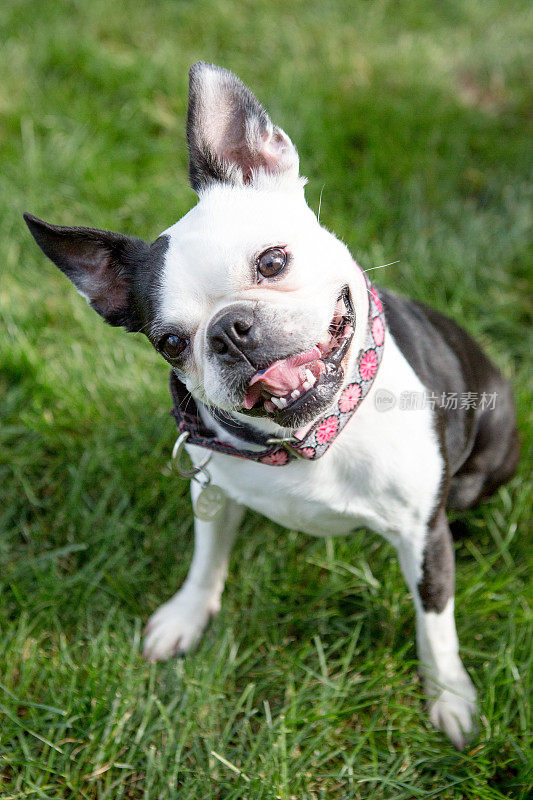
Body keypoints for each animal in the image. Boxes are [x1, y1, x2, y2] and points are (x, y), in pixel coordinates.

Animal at [22, 62, 516, 752]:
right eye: (169, 342)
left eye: (273, 261)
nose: (230, 331)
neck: (312, 440)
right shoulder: (211, 492)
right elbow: (206, 560)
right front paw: (186, 615)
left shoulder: (424, 538)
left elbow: (435, 624)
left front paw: (449, 696)